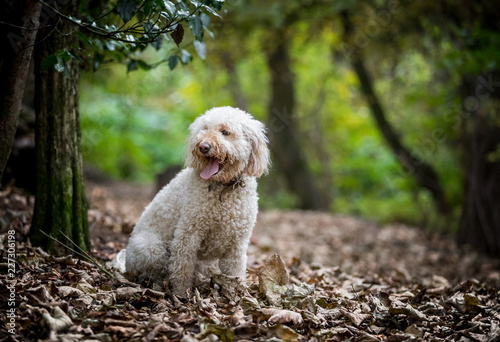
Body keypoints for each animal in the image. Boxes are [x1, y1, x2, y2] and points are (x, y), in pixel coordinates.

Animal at [114, 105, 270, 296]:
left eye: (225, 132)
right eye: (204, 129)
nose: (203, 146)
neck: (223, 188)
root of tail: (126, 264)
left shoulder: (237, 243)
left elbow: (235, 272)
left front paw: (239, 293)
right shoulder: (188, 234)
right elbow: (182, 267)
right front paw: (181, 294)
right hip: (149, 247)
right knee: (155, 271)